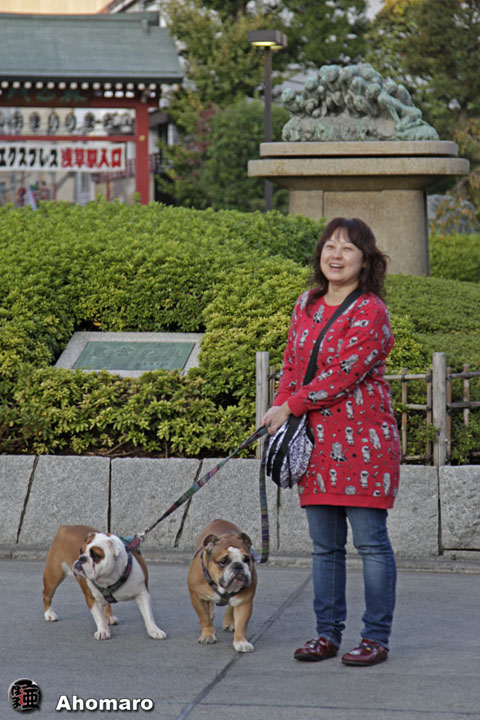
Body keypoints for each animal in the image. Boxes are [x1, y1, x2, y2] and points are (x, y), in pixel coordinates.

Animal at [187, 519, 257, 653]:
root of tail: (219, 520)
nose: (238, 566)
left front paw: (241, 641)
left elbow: (242, 623)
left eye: (246, 559)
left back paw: (230, 622)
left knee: (230, 607)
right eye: (223, 562)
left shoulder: (244, 601)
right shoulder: (197, 597)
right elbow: (204, 617)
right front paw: (208, 635)